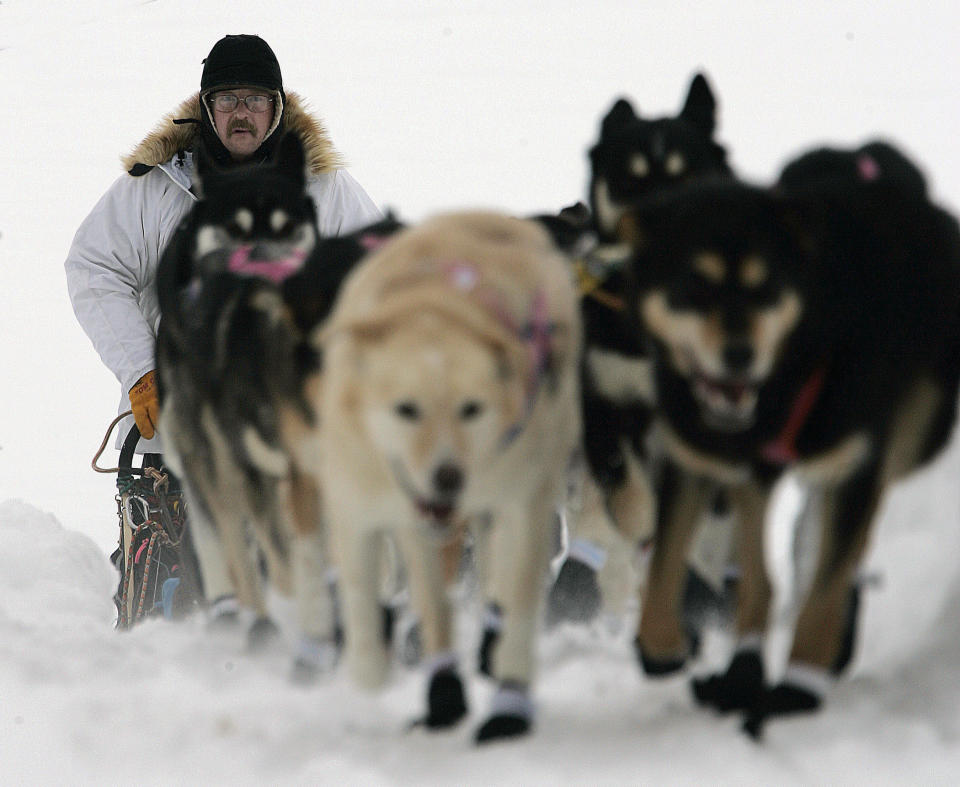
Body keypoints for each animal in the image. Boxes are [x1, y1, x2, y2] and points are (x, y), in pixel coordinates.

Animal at [316, 209, 580, 744]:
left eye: (472, 408)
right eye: (406, 409)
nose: (447, 476)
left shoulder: (523, 503)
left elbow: (517, 600)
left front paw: (508, 705)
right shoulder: (367, 505)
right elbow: (395, 604)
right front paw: (436, 693)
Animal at [620, 148, 960, 740]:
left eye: (765, 287)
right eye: (694, 286)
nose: (739, 355)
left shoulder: (855, 461)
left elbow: (825, 590)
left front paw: (800, 684)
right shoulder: (700, 454)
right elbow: (669, 559)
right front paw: (662, 644)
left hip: (911, 432)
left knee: (841, 548)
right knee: (767, 565)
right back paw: (744, 664)